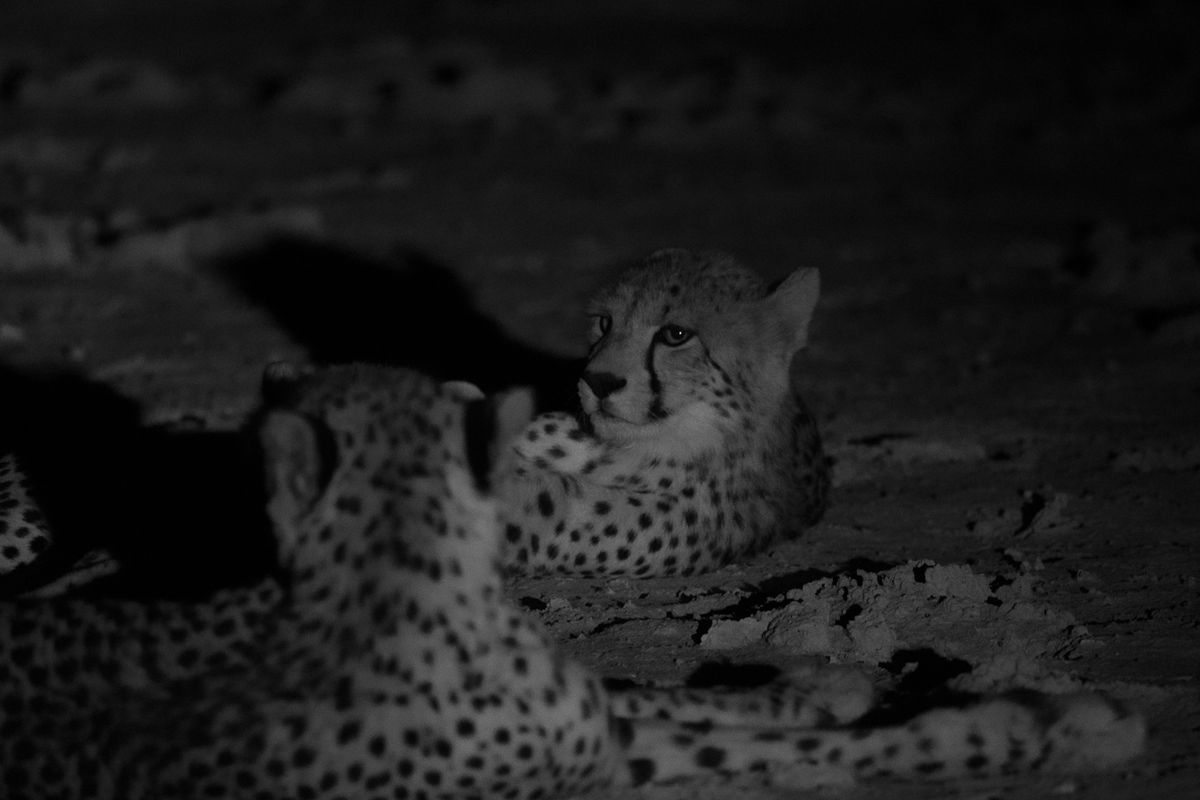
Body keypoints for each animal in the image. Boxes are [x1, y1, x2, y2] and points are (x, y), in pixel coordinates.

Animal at [0, 367, 1142, 796]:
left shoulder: (592, 722)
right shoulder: (589, 763)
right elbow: (806, 748)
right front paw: (1060, 721)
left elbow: (696, 706)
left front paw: (833, 681)